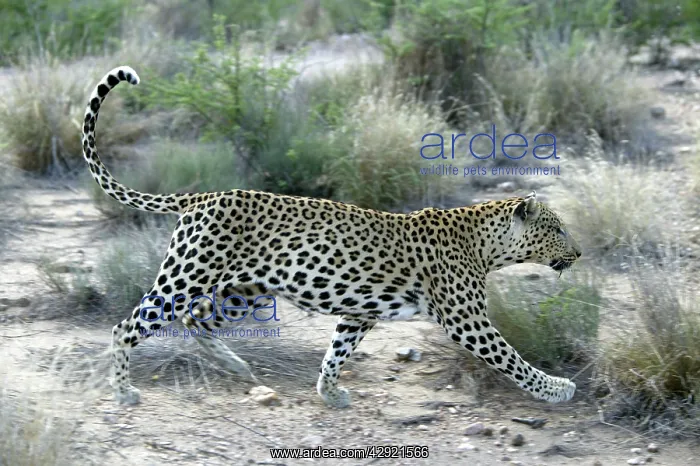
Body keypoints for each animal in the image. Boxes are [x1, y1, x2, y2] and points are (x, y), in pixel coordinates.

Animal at [83, 66, 583, 408]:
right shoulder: (467, 321)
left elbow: (336, 352)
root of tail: (204, 194)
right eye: (557, 228)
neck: (485, 244)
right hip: (186, 277)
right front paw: (556, 389)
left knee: (195, 320)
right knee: (127, 326)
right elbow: (512, 358)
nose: (578, 253)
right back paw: (123, 390)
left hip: (243, 290)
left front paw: (329, 393)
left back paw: (237, 365)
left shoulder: (358, 314)